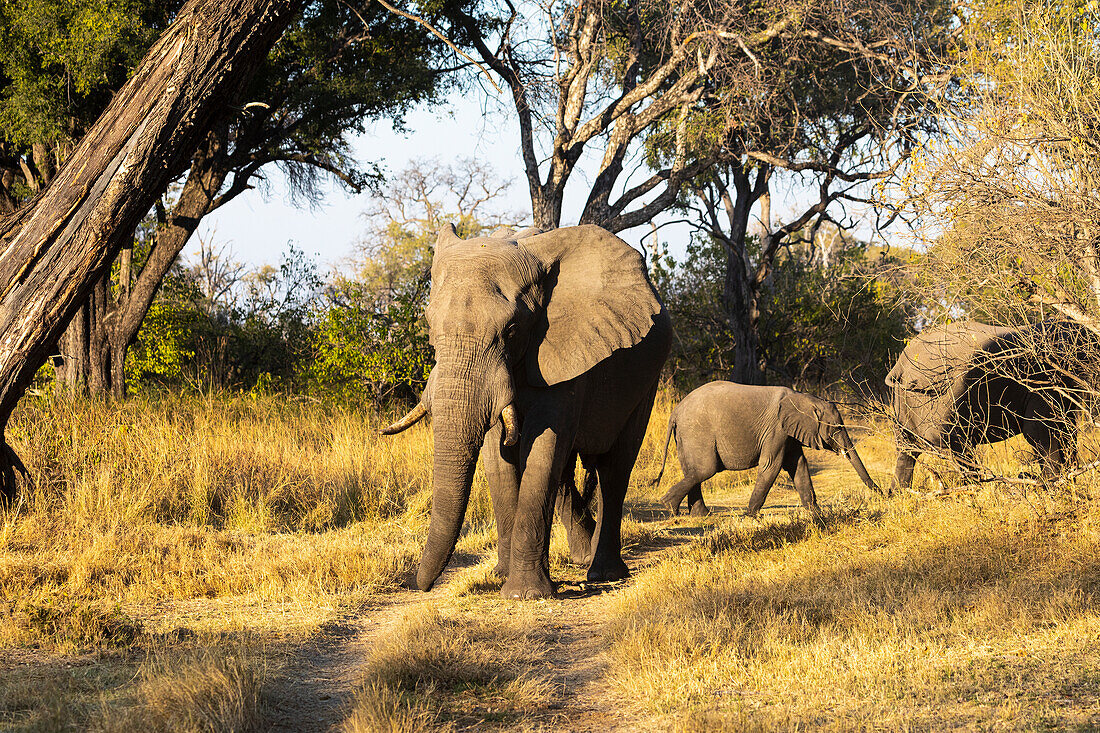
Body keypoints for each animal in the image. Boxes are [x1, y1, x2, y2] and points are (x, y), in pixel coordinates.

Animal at [382, 224, 668, 598]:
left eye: (512, 330)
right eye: (429, 326)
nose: (420, 586)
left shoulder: (565, 352)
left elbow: (544, 445)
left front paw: (526, 594)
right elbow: (498, 455)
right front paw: (502, 576)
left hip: (647, 379)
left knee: (614, 467)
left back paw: (603, 572)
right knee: (567, 472)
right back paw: (582, 555)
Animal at [884, 319, 1082, 490]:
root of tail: (900, 366)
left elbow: (1064, 429)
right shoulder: (1041, 382)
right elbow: (1039, 431)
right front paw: (1056, 485)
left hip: (905, 401)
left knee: (907, 451)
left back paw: (899, 493)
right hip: (936, 400)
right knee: (956, 448)